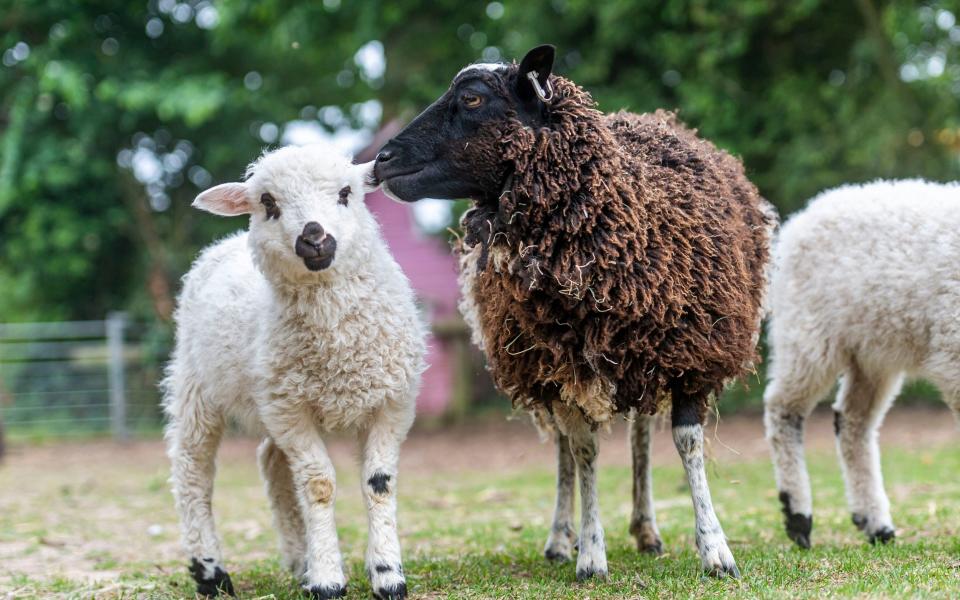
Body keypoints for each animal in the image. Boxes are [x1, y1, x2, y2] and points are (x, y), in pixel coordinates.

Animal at [163, 142, 426, 600]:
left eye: (346, 192)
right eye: (268, 203)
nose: (314, 236)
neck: (338, 347)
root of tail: (226, 242)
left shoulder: (391, 402)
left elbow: (379, 483)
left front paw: (387, 574)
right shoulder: (291, 410)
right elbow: (319, 484)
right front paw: (328, 579)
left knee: (272, 462)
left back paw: (300, 560)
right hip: (197, 383)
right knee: (193, 469)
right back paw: (211, 572)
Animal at [764, 178, 960, 548]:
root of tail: (808, 211)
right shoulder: (953, 352)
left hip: (872, 352)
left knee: (852, 421)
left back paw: (874, 524)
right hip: (806, 331)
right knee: (782, 408)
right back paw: (798, 517)